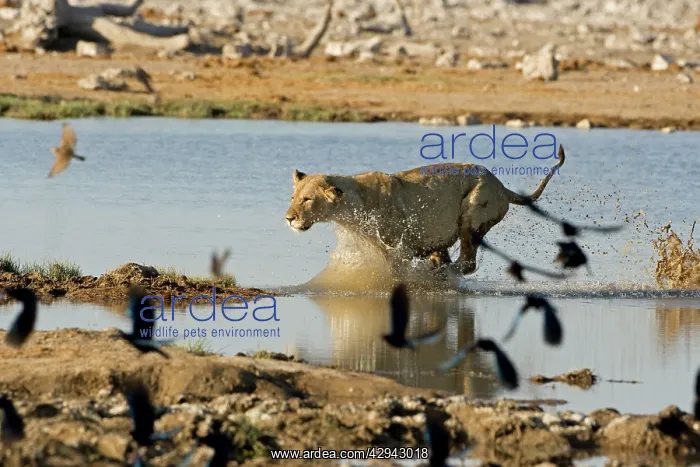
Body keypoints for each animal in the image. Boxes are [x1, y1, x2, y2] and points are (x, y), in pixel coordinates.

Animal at [285, 145, 566, 276]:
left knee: (467, 263)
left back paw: (439, 274)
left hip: (473, 212)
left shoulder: (400, 248)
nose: (289, 218)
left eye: (307, 200)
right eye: (293, 198)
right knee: (449, 258)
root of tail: (501, 186)